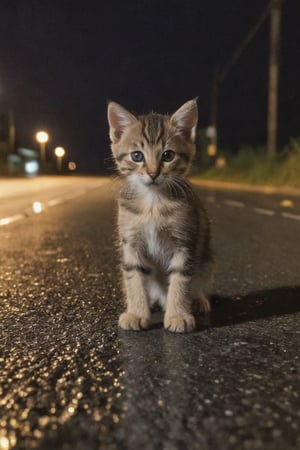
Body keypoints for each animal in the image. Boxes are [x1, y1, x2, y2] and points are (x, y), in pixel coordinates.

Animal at [108, 100, 213, 332]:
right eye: (137, 156)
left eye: (168, 155)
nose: (153, 173)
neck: (153, 203)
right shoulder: (131, 243)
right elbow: (134, 277)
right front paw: (137, 313)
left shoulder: (185, 242)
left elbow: (181, 279)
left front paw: (178, 315)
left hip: (206, 259)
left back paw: (197, 300)